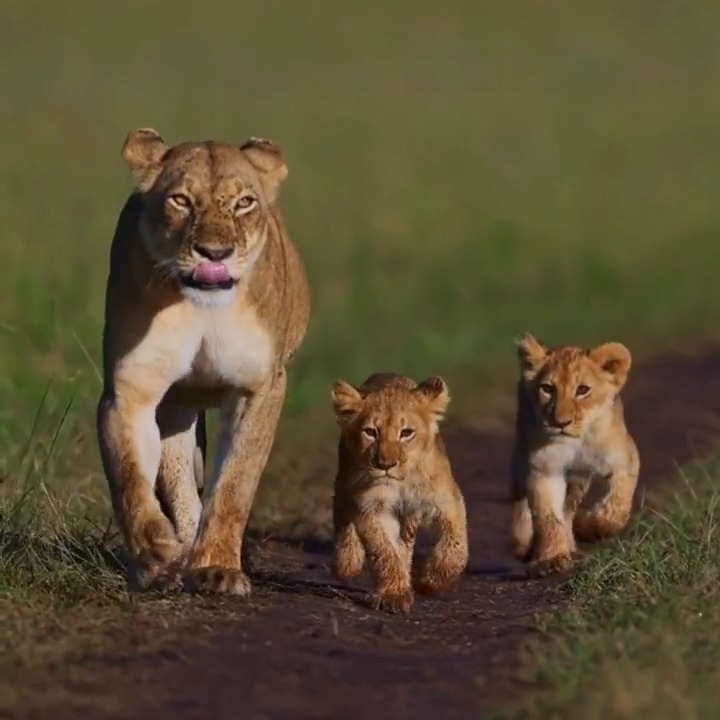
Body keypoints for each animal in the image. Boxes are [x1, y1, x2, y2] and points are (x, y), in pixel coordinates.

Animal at [96, 128, 310, 595]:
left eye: (244, 202)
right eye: (180, 200)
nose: (215, 253)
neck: (204, 309)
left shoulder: (258, 388)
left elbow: (233, 485)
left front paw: (217, 568)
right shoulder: (131, 389)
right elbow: (130, 477)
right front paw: (154, 552)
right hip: (177, 404)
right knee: (178, 480)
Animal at [330, 373, 469, 613]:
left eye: (406, 433)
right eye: (370, 432)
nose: (385, 465)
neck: (401, 482)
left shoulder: (447, 501)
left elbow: (456, 551)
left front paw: (427, 582)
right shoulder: (371, 506)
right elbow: (384, 551)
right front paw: (394, 594)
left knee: (405, 545)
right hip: (345, 482)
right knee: (342, 514)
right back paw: (347, 561)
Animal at [510, 333, 640, 576]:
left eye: (582, 390)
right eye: (547, 389)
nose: (561, 423)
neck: (576, 441)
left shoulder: (624, 459)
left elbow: (616, 507)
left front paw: (589, 527)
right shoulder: (545, 467)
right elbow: (547, 517)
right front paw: (551, 558)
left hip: (578, 479)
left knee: (569, 508)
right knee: (520, 495)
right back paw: (524, 544)